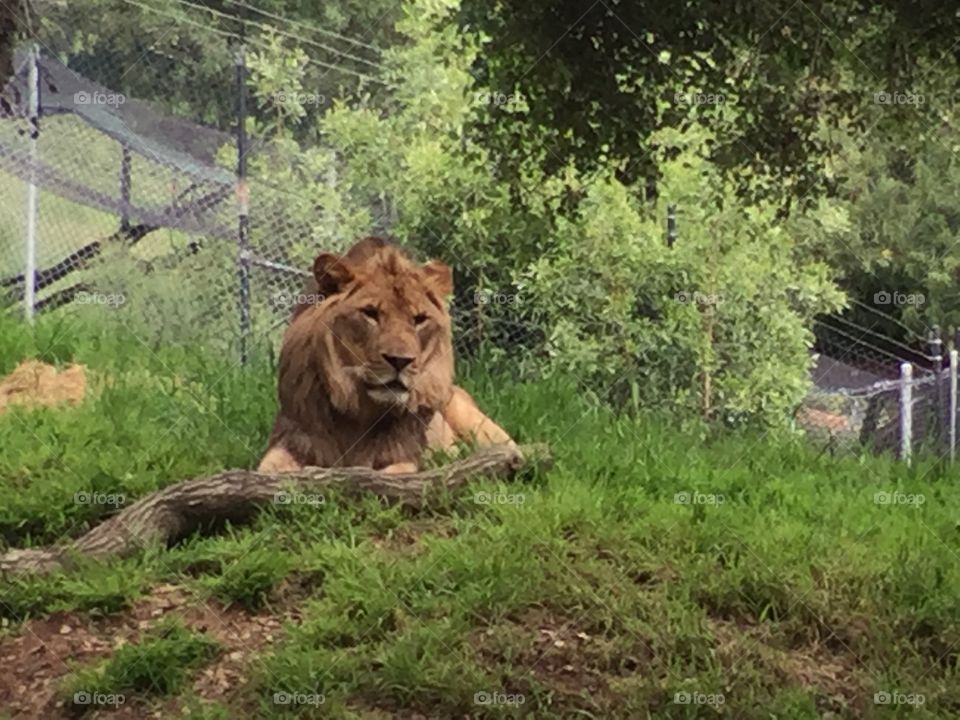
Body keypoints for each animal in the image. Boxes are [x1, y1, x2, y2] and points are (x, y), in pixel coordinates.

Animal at [256, 236, 516, 476]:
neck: (359, 414)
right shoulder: (292, 438)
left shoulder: (407, 454)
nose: (400, 361)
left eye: (419, 319)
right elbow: (266, 469)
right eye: (370, 313)